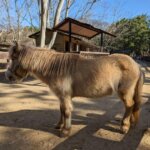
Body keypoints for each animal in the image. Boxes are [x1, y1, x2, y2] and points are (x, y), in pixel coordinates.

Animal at [5, 42, 143, 137]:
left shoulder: (65, 96)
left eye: (12, 59)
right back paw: (130, 123)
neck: (55, 68)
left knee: (130, 105)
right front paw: (59, 126)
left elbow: (66, 111)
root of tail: (136, 65)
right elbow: (61, 110)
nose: (8, 76)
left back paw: (124, 127)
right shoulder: (61, 97)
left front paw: (65, 131)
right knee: (131, 106)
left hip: (125, 92)